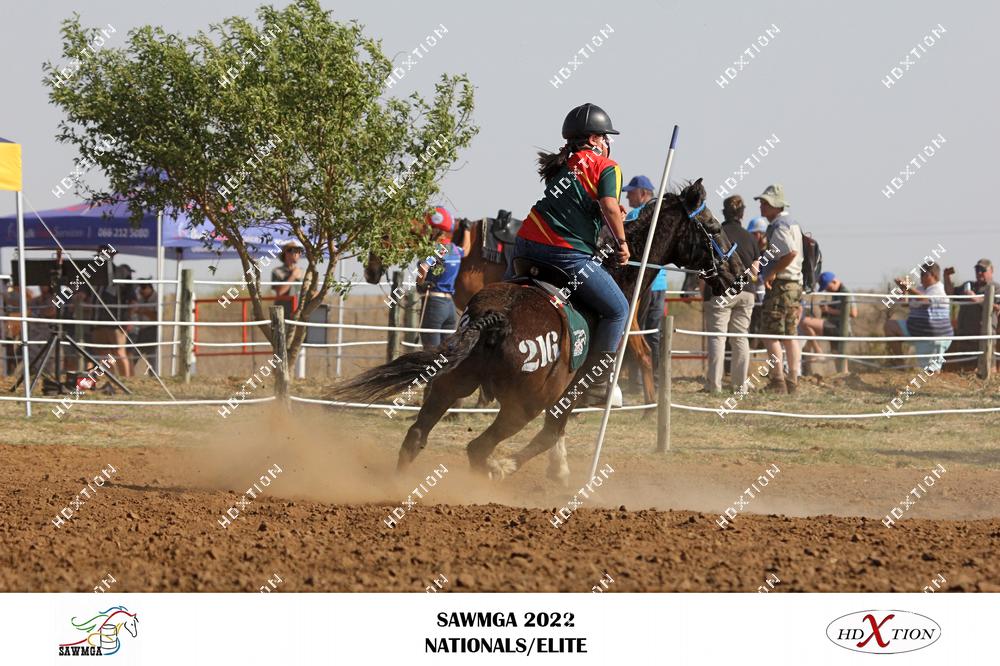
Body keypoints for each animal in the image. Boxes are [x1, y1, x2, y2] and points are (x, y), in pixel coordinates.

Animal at [333, 180, 743, 483]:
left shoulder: (560, 394)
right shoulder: (567, 391)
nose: (740, 272)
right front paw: (530, 468)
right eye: (714, 228)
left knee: (417, 436)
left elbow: (555, 432)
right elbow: (550, 434)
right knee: (477, 449)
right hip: (519, 406)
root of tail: (493, 317)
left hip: (450, 384)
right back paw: (492, 469)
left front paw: (557, 470)